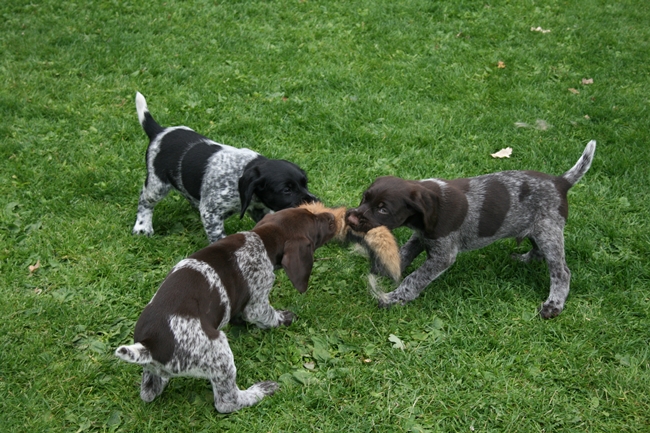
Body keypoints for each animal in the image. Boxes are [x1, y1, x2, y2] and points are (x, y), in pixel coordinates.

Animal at [115, 207, 337, 413]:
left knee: (149, 391)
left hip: (153, 371)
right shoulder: (257, 303)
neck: (263, 240)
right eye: (316, 223)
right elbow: (268, 316)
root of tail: (149, 345)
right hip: (219, 353)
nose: (332, 217)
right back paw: (258, 392)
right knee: (227, 402)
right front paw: (284, 318)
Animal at [131, 92, 318, 243]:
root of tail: (159, 132)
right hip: (157, 184)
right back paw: (142, 227)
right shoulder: (211, 213)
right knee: (145, 201)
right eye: (286, 190)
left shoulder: (259, 208)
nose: (314, 202)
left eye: (305, 183)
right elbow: (218, 236)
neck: (240, 172)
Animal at [345, 140, 596, 319]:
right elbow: (404, 254)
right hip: (538, 228)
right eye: (364, 199)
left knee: (561, 272)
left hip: (548, 232)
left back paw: (554, 304)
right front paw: (385, 272)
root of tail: (560, 182)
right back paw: (522, 260)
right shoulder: (422, 237)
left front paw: (394, 298)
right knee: (537, 251)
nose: (351, 218)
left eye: (383, 209)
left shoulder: (443, 254)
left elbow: (414, 278)